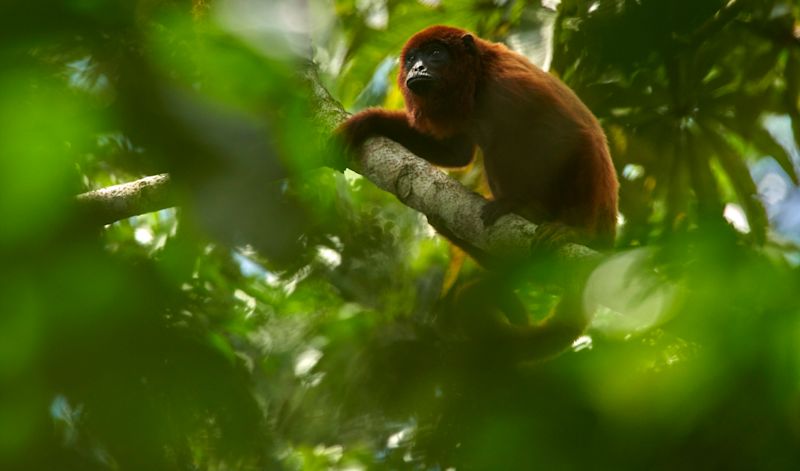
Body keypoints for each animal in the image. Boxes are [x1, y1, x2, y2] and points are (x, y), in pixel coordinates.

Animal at [338, 25, 620, 362]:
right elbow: (455, 152)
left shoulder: (510, 86)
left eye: (435, 54)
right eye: (411, 59)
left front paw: (573, 232)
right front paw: (369, 121)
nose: (417, 69)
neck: (477, 79)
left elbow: (572, 135)